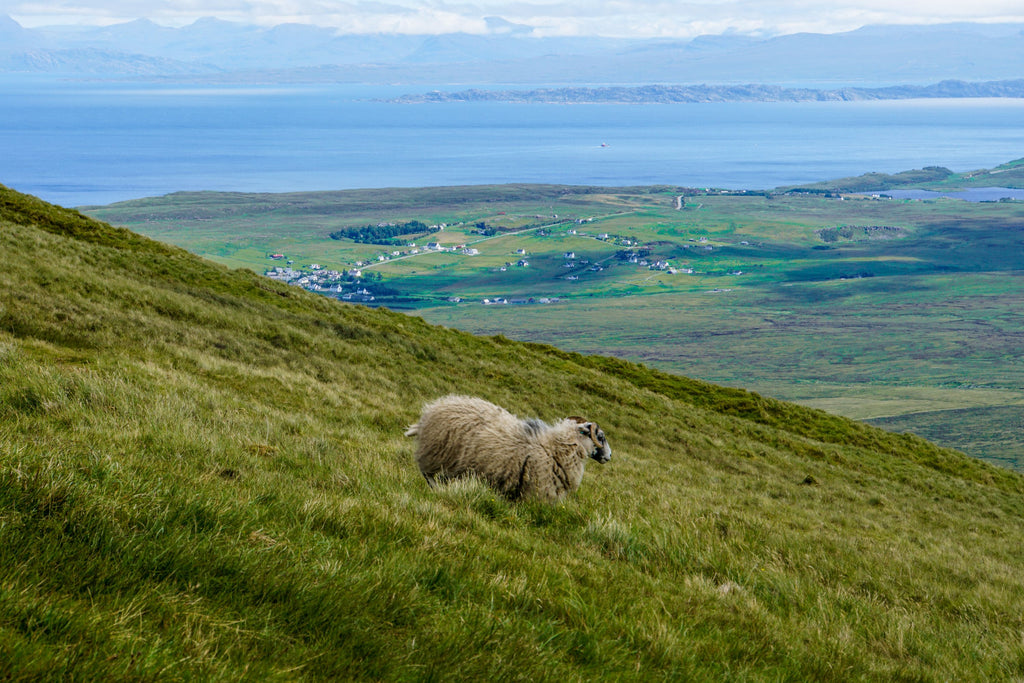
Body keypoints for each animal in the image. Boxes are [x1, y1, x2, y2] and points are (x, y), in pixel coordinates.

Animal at [403, 395, 610, 501]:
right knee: (428, 475)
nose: (609, 456)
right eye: (600, 436)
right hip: (437, 454)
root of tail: (431, 410)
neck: (554, 448)